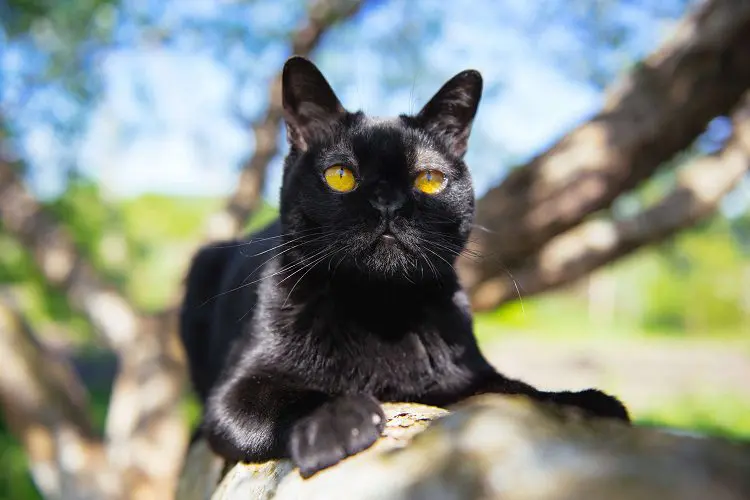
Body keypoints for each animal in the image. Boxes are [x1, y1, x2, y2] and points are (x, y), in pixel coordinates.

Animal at [181, 55, 628, 480]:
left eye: (429, 179)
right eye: (340, 175)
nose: (388, 203)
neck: (380, 310)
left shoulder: (468, 375)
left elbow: (519, 391)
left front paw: (584, 402)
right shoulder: (236, 391)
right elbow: (290, 397)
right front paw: (335, 417)